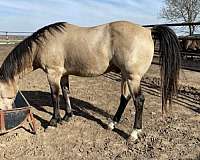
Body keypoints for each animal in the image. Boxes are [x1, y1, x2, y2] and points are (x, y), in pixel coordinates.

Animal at [0, 21, 181, 140]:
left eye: (1, 94)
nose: (6, 111)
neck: (43, 44)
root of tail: (147, 31)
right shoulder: (64, 74)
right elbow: (65, 93)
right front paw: (68, 116)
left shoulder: (53, 74)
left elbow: (55, 95)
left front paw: (54, 121)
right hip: (125, 76)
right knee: (125, 98)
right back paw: (112, 124)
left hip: (132, 77)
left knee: (139, 100)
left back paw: (134, 133)